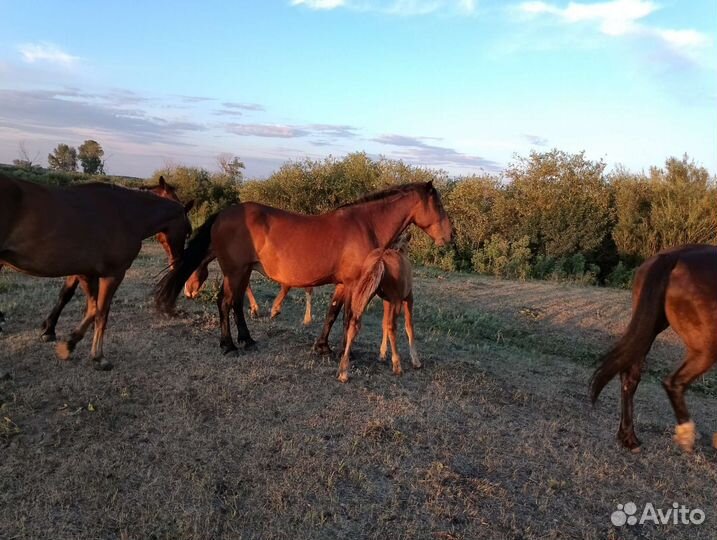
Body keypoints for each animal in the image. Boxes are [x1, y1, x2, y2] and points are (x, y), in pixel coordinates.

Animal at [340, 231, 419, 380]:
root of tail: (381, 259)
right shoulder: (407, 299)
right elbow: (408, 326)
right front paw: (416, 361)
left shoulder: (387, 301)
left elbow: (383, 324)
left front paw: (382, 354)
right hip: (396, 301)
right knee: (392, 327)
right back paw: (397, 366)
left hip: (365, 296)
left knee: (354, 323)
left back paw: (343, 371)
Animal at [590, 244, 717, 453]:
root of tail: (675, 256)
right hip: (707, 348)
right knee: (673, 382)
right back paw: (686, 434)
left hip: (649, 329)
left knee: (630, 377)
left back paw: (628, 437)